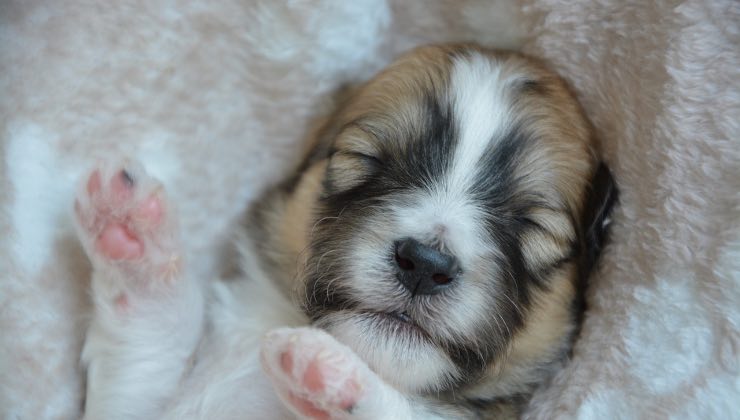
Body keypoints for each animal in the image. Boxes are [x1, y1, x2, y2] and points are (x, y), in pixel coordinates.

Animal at [76, 44, 620, 418]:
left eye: (533, 228)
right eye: (364, 160)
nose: (425, 264)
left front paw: (327, 371)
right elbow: (152, 344)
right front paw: (131, 235)